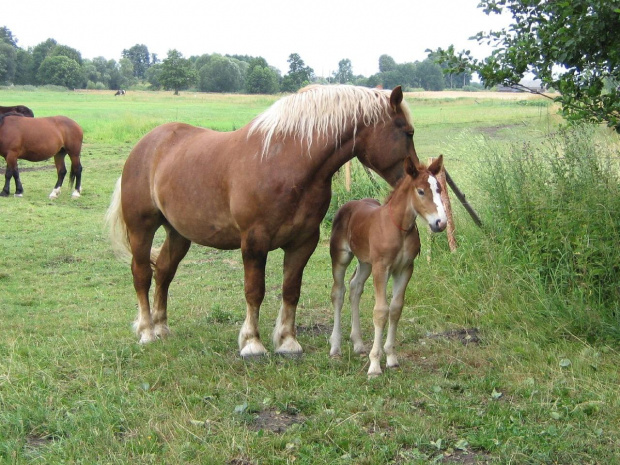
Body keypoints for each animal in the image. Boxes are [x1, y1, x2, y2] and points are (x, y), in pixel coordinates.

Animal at [106, 85, 422, 356]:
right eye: (408, 132)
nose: (413, 177)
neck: (284, 162)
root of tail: (147, 144)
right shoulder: (254, 241)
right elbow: (254, 291)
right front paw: (252, 343)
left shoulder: (303, 241)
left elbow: (291, 290)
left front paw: (287, 341)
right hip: (142, 229)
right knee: (142, 275)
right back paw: (147, 331)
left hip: (178, 233)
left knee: (163, 272)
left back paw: (162, 328)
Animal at [330, 154, 446, 376]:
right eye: (420, 191)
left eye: (439, 189)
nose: (441, 223)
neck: (399, 228)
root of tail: (348, 204)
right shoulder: (381, 268)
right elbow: (380, 311)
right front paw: (375, 365)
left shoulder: (405, 269)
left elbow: (395, 309)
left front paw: (391, 357)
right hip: (341, 257)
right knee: (338, 293)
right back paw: (335, 346)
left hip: (366, 262)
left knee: (355, 287)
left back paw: (358, 343)